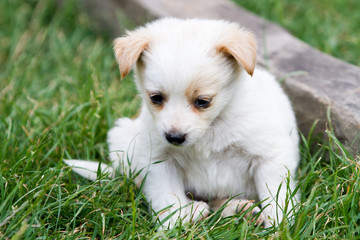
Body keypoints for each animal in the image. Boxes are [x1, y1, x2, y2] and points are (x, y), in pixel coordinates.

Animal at [64, 17, 298, 228]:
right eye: (155, 98)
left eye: (203, 101)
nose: (174, 137)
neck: (211, 128)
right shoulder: (159, 161)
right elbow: (166, 197)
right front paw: (176, 223)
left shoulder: (269, 155)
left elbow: (275, 194)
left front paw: (279, 225)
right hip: (123, 140)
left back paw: (238, 209)